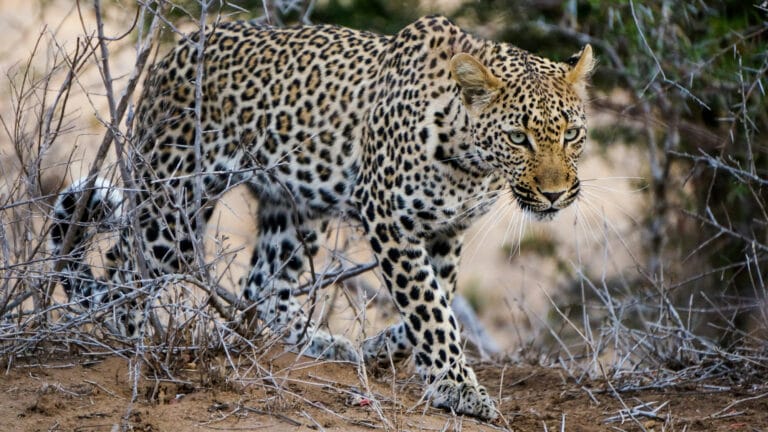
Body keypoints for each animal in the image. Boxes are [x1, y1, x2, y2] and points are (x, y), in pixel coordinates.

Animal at [49, 15, 594, 420]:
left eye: (571, 134)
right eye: (519, 137)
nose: (555, 195)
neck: (471, 162)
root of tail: (174, 52)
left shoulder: (446, 229)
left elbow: (439, 299)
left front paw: (385, 348)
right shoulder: (389, 218)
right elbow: (430, 307)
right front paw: (457, 387)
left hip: (295, 210)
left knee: (263, 287)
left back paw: (323, 344)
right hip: (174, 201)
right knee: (123, 266)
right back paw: (132, 339)